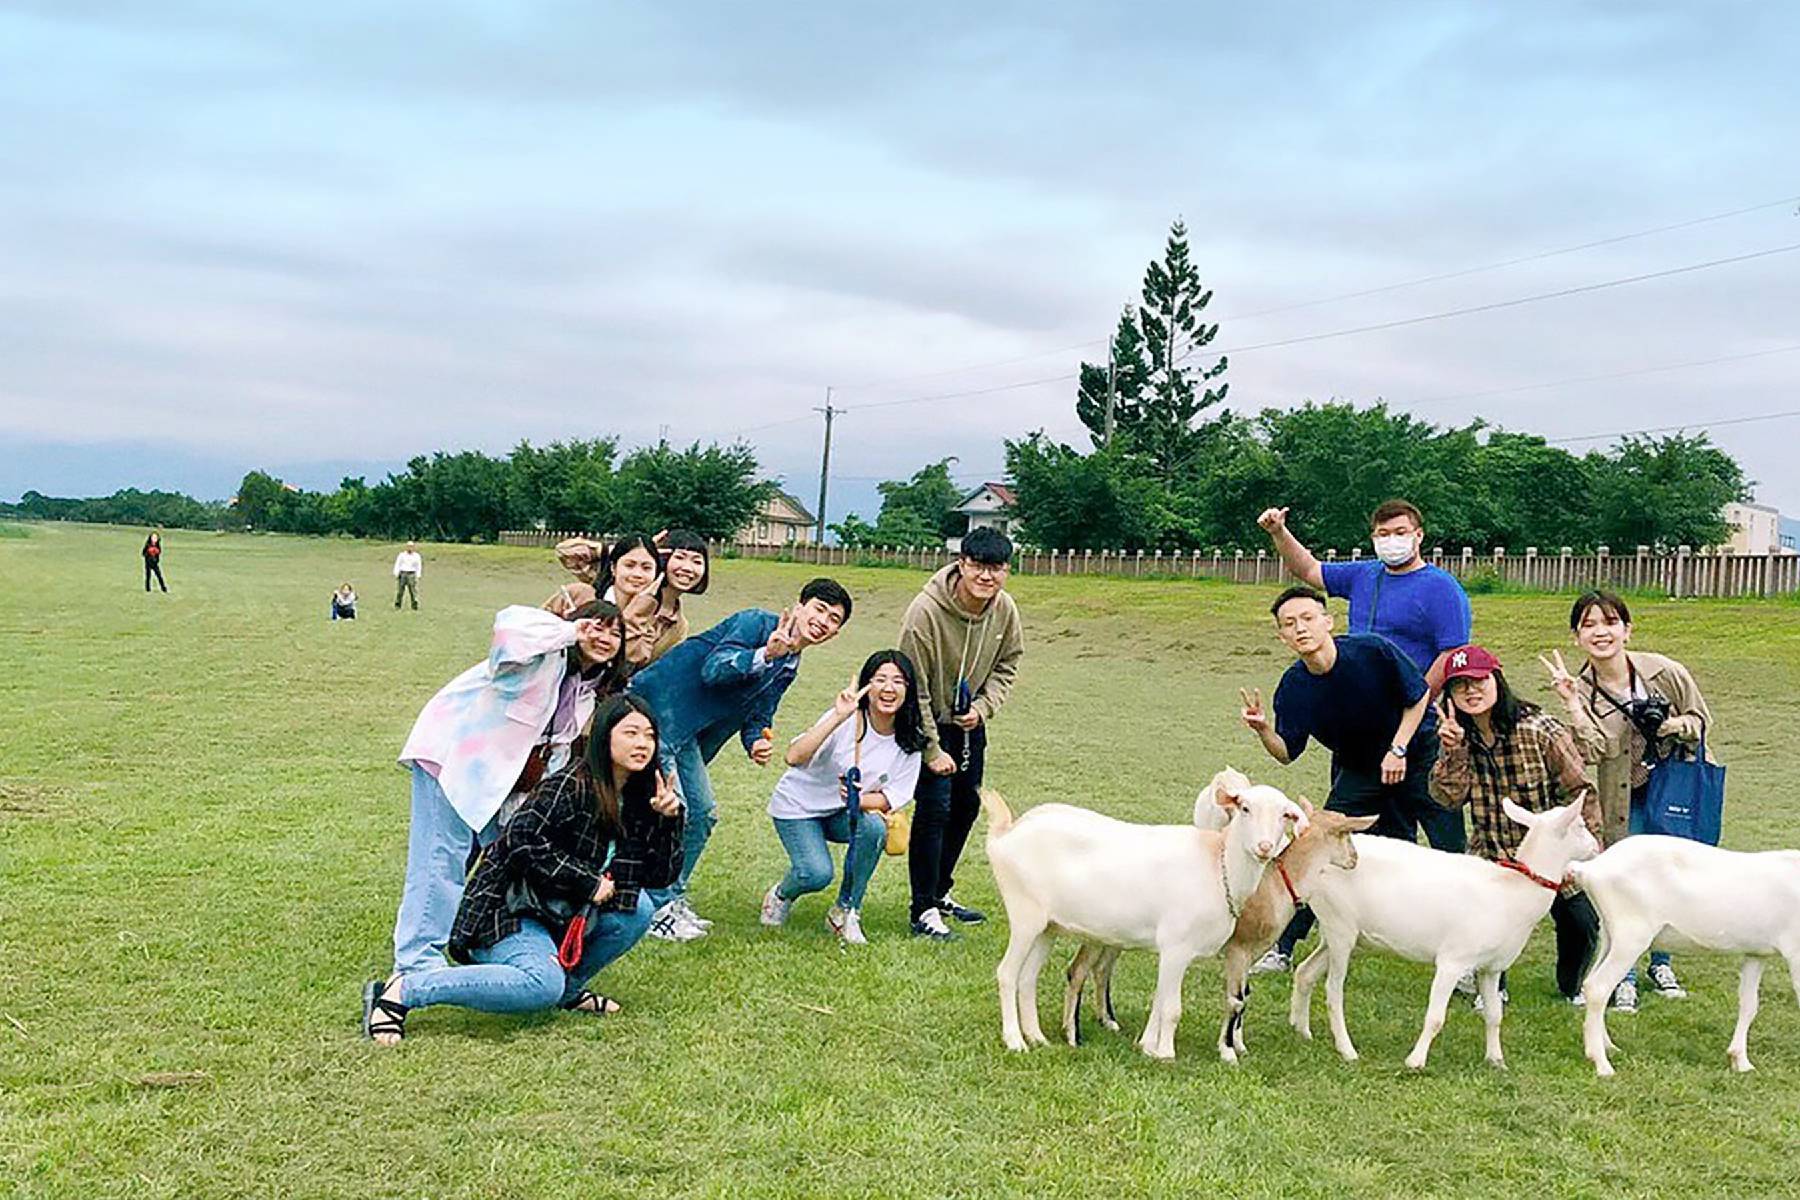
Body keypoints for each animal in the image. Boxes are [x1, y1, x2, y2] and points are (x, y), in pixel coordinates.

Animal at [993, 773, 1303, 1057]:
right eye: (1245, 808)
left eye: (1285, 815)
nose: (1264, 847)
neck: (1218, 864)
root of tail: (1006, 833)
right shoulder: (1177, 946)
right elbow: (1172, 1007)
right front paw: (1165, 1054)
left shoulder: (1172, 952)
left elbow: (1160, 999)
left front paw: (1147, 1046)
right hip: (1024, 917)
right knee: (1007, 973)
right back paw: (1015, 1041)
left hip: (1047, 927)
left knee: (1028, 978)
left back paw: (1037, 1037)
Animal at [1288, 798, 1598, 1072]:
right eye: (1581, 825)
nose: (1596, 847)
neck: (1513, 892)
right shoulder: (1453, 960)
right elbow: (1435, 1016)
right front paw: (1415, 1061)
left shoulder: (1491, 967)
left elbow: (1494, 1016)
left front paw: (1497, 1061)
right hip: (1339, 927)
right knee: (1333, 991)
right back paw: (1346, 1049)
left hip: (1343, 935)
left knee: (1304, 972)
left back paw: (1301, 1030)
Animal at [1569, 834, 1800, 1079]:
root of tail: (1591, 869)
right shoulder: (1796, 952)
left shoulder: (1756, 953)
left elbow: (1749, 1004)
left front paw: (1741, 1061)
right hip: (1631, 937)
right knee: (1598, 987)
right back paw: (1601, 1063)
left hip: (1609, 936)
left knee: (1590, 983)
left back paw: (1609, 1046)